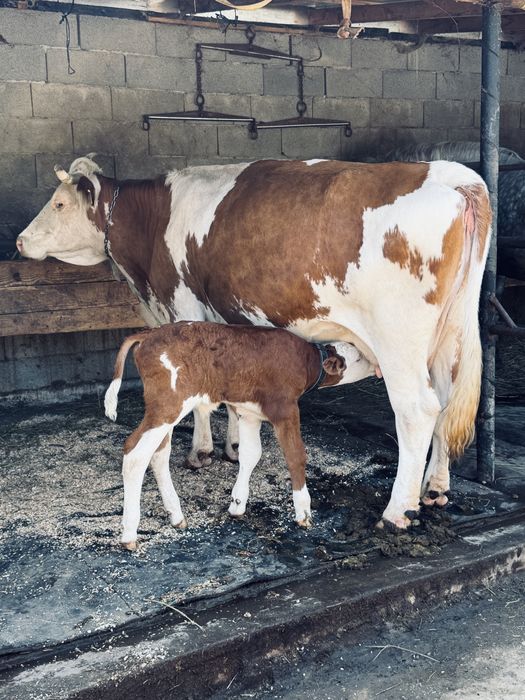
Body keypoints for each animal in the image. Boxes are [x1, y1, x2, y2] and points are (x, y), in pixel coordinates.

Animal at [104, 321, 375, 549]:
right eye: (359, 356)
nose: (375, 364)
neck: (306, 360)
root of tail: (150, 333)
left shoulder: (250, 413)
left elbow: (251, 454)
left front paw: (237, 503)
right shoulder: (285, 409)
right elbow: (296, 455)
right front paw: (303, 512)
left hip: (166, 410)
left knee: (158, 454)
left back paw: (176, 515)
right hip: (167, 406)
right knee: (135, 454)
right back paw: (129, 533)